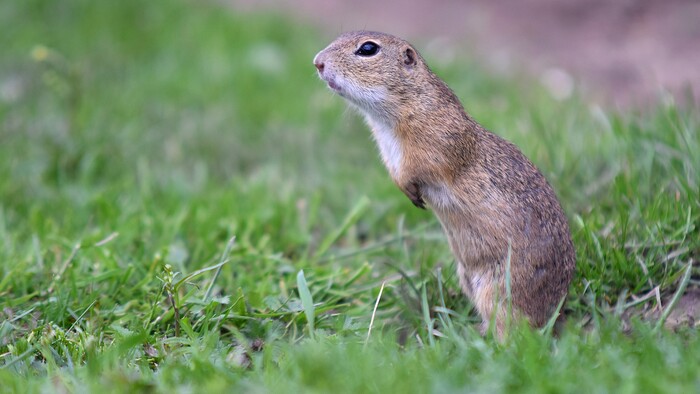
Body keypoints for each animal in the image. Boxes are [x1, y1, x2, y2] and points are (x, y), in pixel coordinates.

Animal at [314, 31, 576, 336]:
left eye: (368, 49)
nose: (317, 62)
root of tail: (556, 310)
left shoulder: (433, 145)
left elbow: (420, 167)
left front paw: (413, 192)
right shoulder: (388, 154)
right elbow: (396, 173)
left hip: (500, 290)